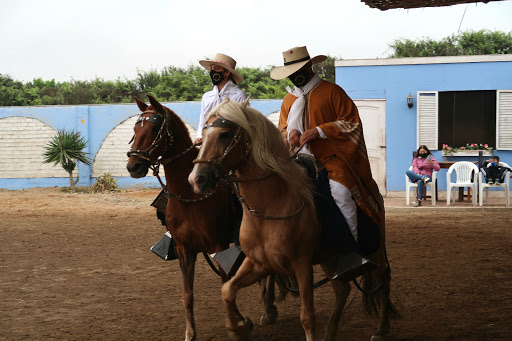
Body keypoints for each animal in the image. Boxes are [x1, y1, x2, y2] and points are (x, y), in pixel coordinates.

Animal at [127, 95, 280, 340]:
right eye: (135, 128)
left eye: (155, 128)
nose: (133, 166)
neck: (191, 197)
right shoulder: (184, 249)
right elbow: (187, 293)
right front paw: (191, 333)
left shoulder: (219, 246)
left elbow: (225, 284)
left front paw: (239, 323)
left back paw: (268, 309)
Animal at [189, 99, 400, 340]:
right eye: (203, 135)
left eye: (224, 134)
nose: (196, 179)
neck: (271, 207)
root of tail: (373, 191)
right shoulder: (258, 263)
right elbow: (227, 290)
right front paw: (237, 328)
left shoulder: (302, 265)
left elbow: (307, 317)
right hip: (330, 258)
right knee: (342, 289)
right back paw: (330, 332)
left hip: (375, 251)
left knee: (383, 281)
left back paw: (381, 329)